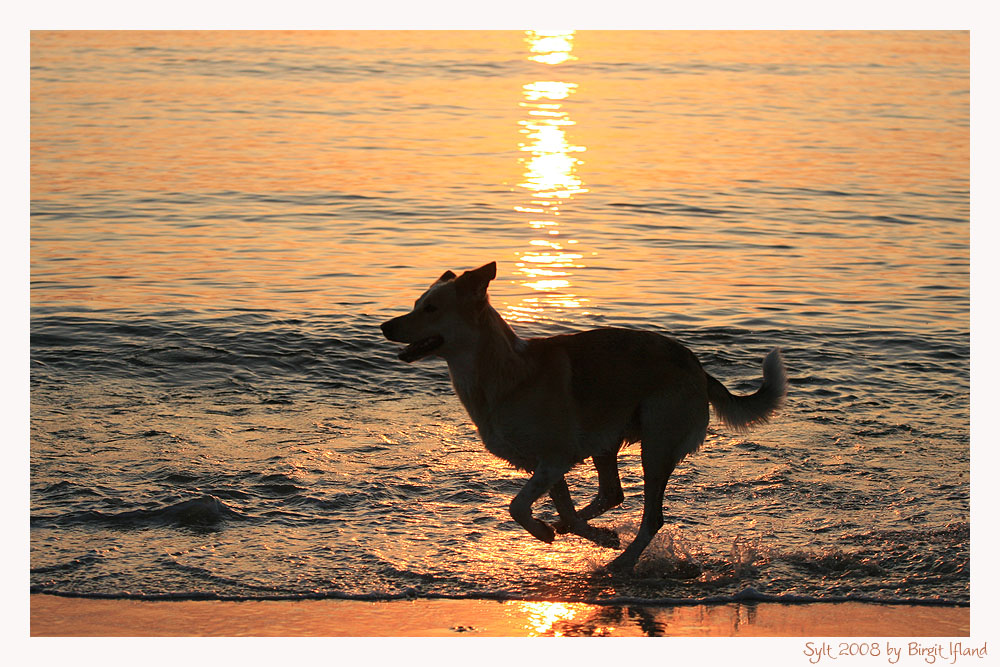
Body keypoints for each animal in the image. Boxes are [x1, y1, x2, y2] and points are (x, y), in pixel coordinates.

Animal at [378, 260, 784, 568]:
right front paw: (589, 534)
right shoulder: (545, 467)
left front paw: (548, 531)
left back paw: (620, 564)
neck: (505, 373)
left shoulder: (555, 459)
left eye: (430, 309)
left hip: (656, 448)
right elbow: (565, 512)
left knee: (651, 518)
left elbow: (517, 506)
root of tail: (698, 368)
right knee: (612, 494)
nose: (385, 326)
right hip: (607, 442)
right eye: (416, 303)